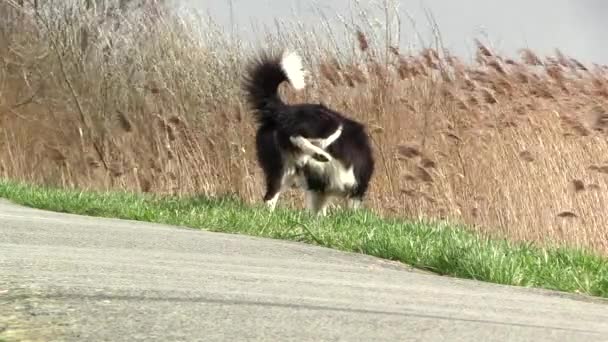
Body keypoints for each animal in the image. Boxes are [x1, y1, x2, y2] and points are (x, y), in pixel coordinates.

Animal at [242, 48, 376, 215]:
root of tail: (282, 110)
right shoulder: (352, 189)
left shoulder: (320, 190)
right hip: (329, 126)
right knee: (296, 137)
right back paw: (319, 154)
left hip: (282, 169)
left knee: (270, 196)